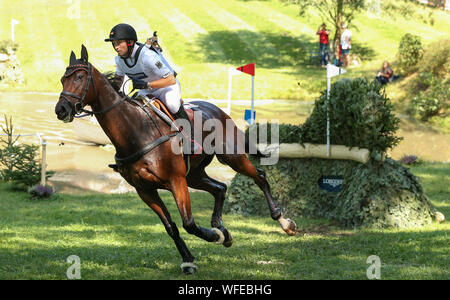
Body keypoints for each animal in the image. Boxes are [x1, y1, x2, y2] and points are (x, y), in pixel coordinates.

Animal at [54, 46, 298, 274]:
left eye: (79, 77)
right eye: (63, 79)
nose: (61, 109)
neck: (136, 131)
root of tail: (219, 110)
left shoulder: (176, 180)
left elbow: (188, 223)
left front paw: (213, 237)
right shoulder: (145, 189)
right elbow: (171, 226)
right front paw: (191, 258)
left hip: (231, 157)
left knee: (260, 176)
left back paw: (284, 222)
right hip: (194, 174)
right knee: (220, 188)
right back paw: (222, 228)